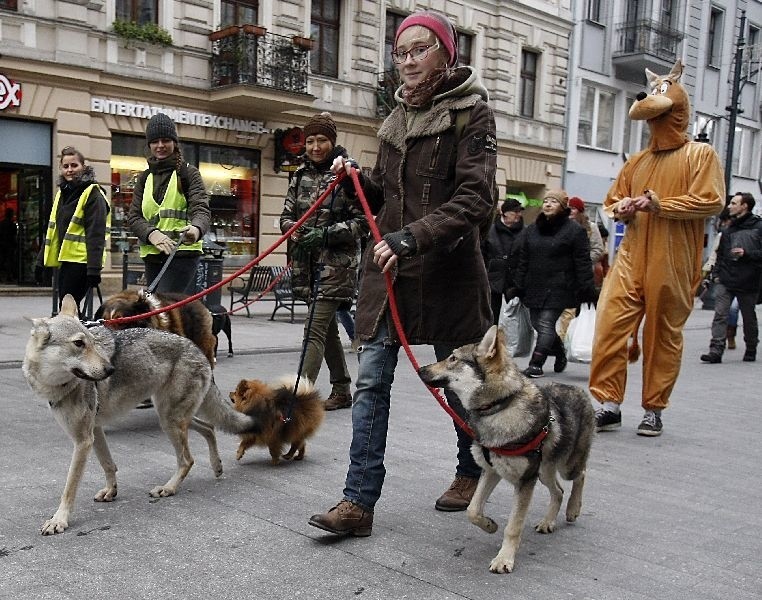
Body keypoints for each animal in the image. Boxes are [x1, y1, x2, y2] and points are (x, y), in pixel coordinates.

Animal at [22, 296, 260, 536]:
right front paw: (111, 491)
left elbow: (69, 487)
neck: (56, 386)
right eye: (79, 343)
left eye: (92, 342)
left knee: (187, 459)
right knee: (209, 429)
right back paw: (216, 465)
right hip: (174, 417)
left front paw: (59, 520)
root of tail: (197, 349)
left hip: (170, 420)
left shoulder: (83, 440)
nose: (111, 369)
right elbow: (108, 464)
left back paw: (168, 488)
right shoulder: (93, 433)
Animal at [416, 326, 592, 576]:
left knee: (580, 475)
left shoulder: (525, 481)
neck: (499, 406)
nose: (420, 369)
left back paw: (573, 509)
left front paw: (504, 559)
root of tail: (578, 390)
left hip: (565, 466)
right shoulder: (491, 471)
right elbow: (472, 510)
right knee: (558, 491)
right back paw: (548, 522)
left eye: (452, 358)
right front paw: (489, 525)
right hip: (544, 471)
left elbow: (513, 526)